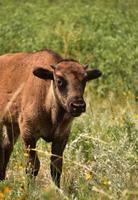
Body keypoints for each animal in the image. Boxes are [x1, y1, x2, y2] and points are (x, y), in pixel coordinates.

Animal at [0, 49, 101, 187]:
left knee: (6, 147)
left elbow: (56, 168)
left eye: (84, 80)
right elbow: (33, 166)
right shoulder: (28, 134)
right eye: (59, 80)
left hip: (11, 125)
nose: (78, 105)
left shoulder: (61, 137)